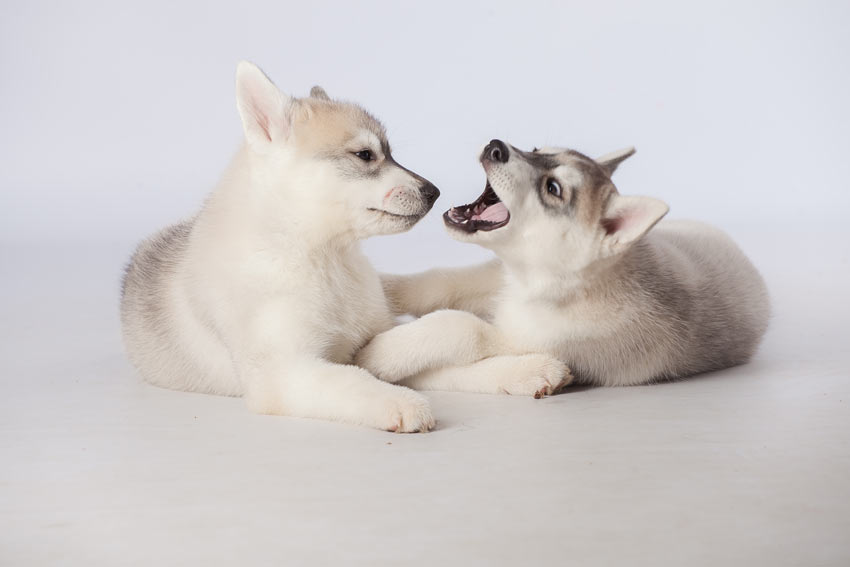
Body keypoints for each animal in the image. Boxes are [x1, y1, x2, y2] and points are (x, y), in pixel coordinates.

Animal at [123, 62, 448, 432]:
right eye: (365, 155)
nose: (434, 193)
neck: (322, 258)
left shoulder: (379, 328)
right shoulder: (284, 372)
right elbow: (352, 380)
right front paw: (401, 402)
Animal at [354, 142, 772, 390]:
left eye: (553, 189)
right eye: (537, 149)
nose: (495, 146)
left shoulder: (533, 341)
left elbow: (460, 328)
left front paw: (382, 354)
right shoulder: (501, 277)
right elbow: (441, 282)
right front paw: (385, 287)